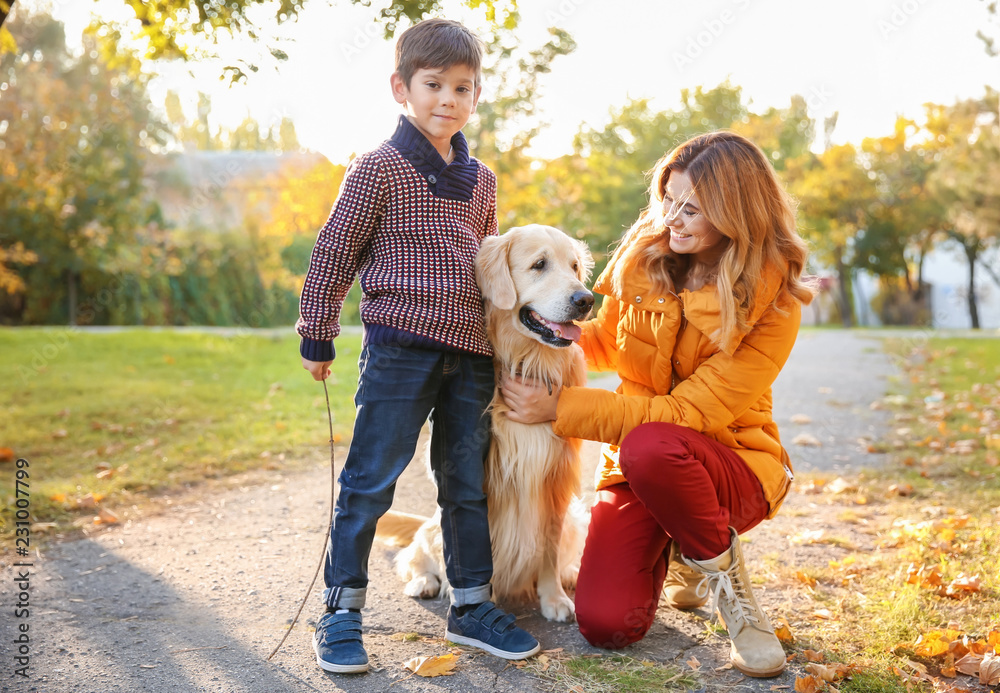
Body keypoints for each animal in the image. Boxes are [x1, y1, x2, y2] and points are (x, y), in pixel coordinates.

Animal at [376, 226, 592, 620]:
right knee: (416, 555)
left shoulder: (554, 479)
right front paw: (478, 600)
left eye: (573, 267)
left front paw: (553, 597)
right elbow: (475, 547)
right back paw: (426, 581)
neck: (526, 361)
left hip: (575, 517)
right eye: (539, 265)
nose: (586, 299)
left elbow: (548, 547)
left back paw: (570, 574)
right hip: (432, 526)